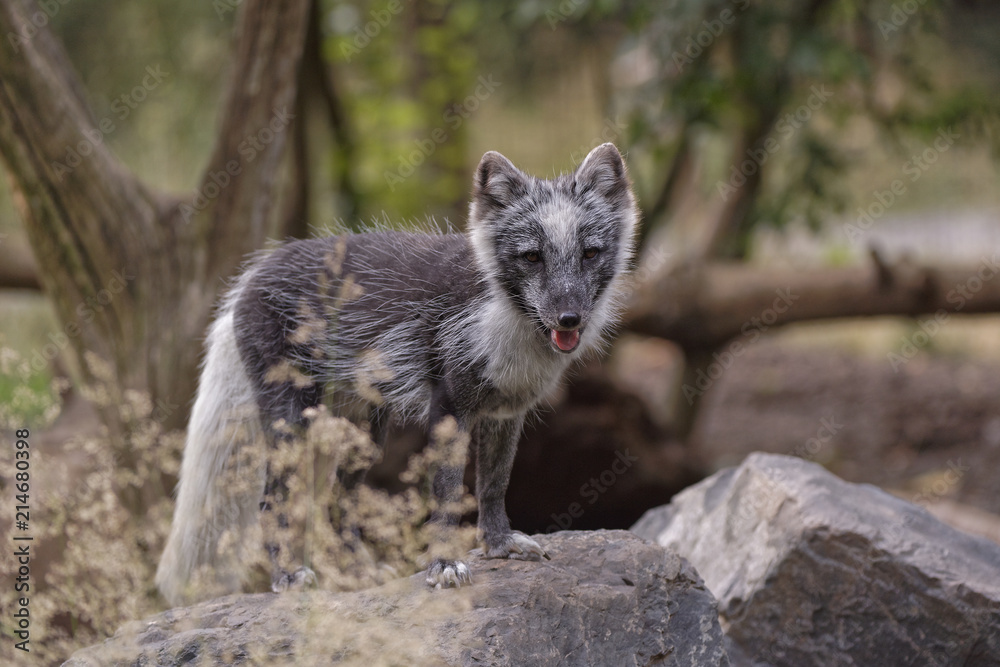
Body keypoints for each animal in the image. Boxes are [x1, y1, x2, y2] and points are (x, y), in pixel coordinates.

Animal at [155, 143, 640, 606]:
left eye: (590, 253)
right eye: (532, 257)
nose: (569, 319)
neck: (500, 313)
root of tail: (249, 278)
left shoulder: (506, 413)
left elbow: (493, 485)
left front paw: (499, 545)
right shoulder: (450, 409)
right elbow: (447, 494)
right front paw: (444, 565)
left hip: (365, 435)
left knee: (336, 503)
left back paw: (359, 572)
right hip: (293, 422)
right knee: (273, 500)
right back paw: (288, 576)